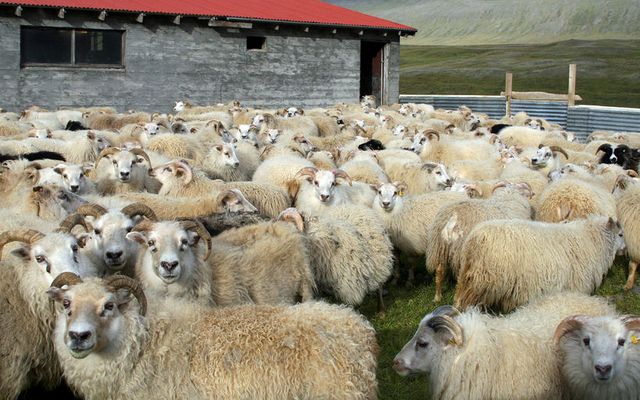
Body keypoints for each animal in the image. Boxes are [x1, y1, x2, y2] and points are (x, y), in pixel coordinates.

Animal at [456, 216, 624, 312]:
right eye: (621, 234)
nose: (625, 250)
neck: (592, 240)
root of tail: (475, 239)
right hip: (482, 280)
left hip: (468, 276)